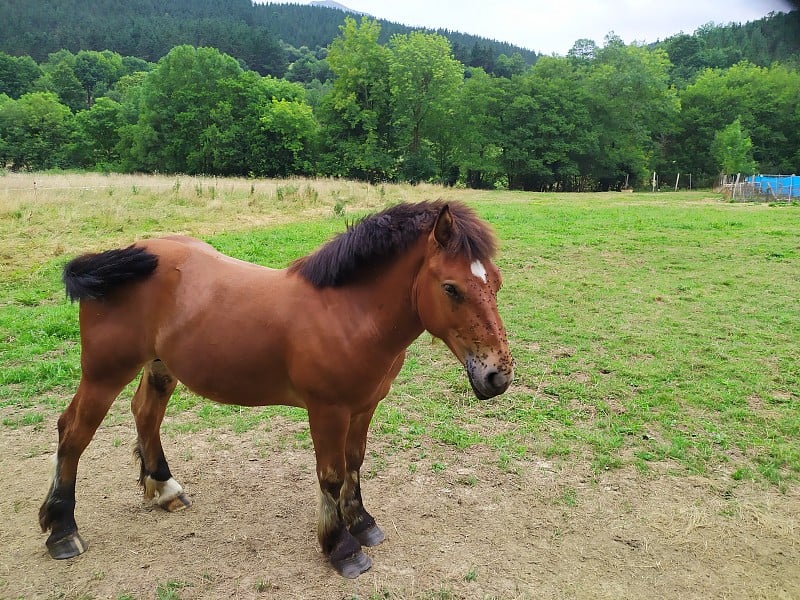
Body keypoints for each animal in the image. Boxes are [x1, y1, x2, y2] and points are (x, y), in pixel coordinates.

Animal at [39, 199, 512, 580]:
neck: (348, 313)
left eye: (496, 282)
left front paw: (363, 524)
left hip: (159, 367)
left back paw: (165, 490)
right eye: (450, 288)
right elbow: (331, 475)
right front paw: (341, 548)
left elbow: (355, 465)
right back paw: (62, 530)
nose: (498, 376)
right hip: (104, 374)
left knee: (145, 413)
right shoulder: (328, 411)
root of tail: (121, 258)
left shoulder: (364, 407)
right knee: (74, 431)